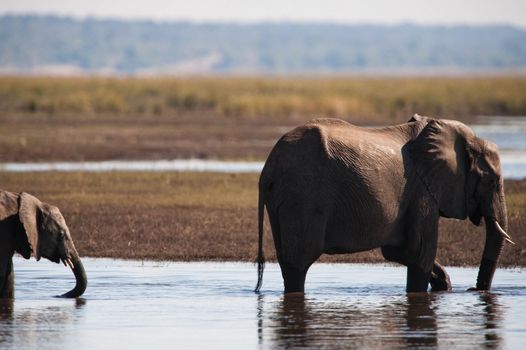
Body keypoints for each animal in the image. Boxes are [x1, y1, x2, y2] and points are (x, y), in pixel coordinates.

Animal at [256, 115, 516, 292]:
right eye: (492, 181)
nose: (475, 289)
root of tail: (269, 167)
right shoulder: (422, 191)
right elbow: (420, 253)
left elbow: (399, 251)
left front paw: (444, 285)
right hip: (303, 197)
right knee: (298, 264)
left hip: (283, 200)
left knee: (287, 261)